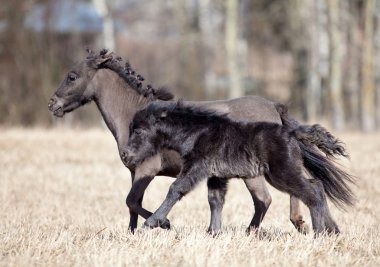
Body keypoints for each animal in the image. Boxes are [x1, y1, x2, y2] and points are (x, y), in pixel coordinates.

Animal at [124, 102, 356, 234]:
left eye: (139, 131)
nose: (126, 155)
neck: (196, 133)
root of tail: (292, 133)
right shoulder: (216, 176)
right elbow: (215, 200)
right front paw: (213, 232)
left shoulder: (196, 167)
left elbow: (175, 189)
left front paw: (153, 223)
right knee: (317, 186)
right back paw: (333, 231)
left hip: (282, 174)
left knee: (312, 193)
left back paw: (319, 232)